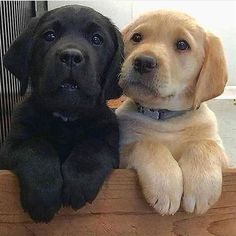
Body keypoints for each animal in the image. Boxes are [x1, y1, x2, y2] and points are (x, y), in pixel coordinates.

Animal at [0, 6, 123, 223]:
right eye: (49, 35)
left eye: (97, 39)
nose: (71, 56)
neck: (67, 117)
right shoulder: (12, 144)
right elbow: (36, 147)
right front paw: (43, 193)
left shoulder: (108, 141)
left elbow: (92, 147)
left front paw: (79, 181)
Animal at [116, 10, 229, 215]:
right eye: (137, 37)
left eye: (182, 45)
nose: (143, 62)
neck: (165, 117)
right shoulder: (122, 152)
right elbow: (147, 143)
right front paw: (165, 184)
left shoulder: (226, 158)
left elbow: (205, 145)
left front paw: (201, 187)